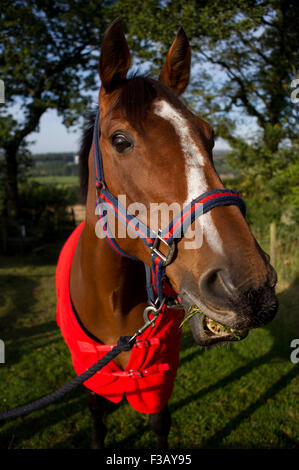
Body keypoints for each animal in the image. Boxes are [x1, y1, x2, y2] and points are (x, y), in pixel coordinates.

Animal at [56, 18, 278, 450]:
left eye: (209, 135)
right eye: (120, 140)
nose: (251, 286)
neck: (114, 304)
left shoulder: (159, 379)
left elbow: (159, 423)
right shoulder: (91, 378)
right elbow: (97, 420)